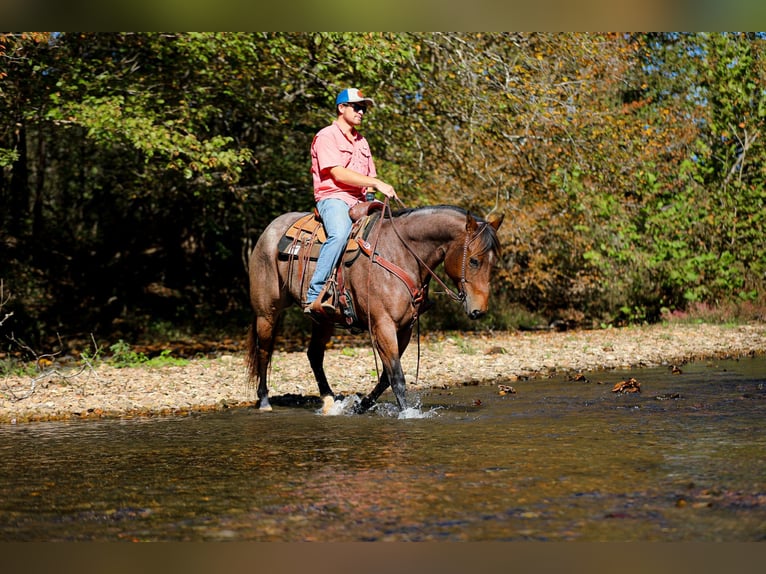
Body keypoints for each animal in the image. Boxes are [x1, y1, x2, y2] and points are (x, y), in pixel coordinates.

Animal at [246, 204, 503, 414]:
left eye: (493, 263)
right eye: (474, 261)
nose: (479, 310)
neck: (400, 254)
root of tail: (269, 231)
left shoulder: (404, 329)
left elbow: (385, 378)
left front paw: (361, 405)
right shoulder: (383, 324)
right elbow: (396, 376)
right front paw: (407, 414)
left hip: (323, 320)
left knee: (314, 355)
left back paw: (329, 401)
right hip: (267, 313)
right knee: (264, 351)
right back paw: (264, 400)